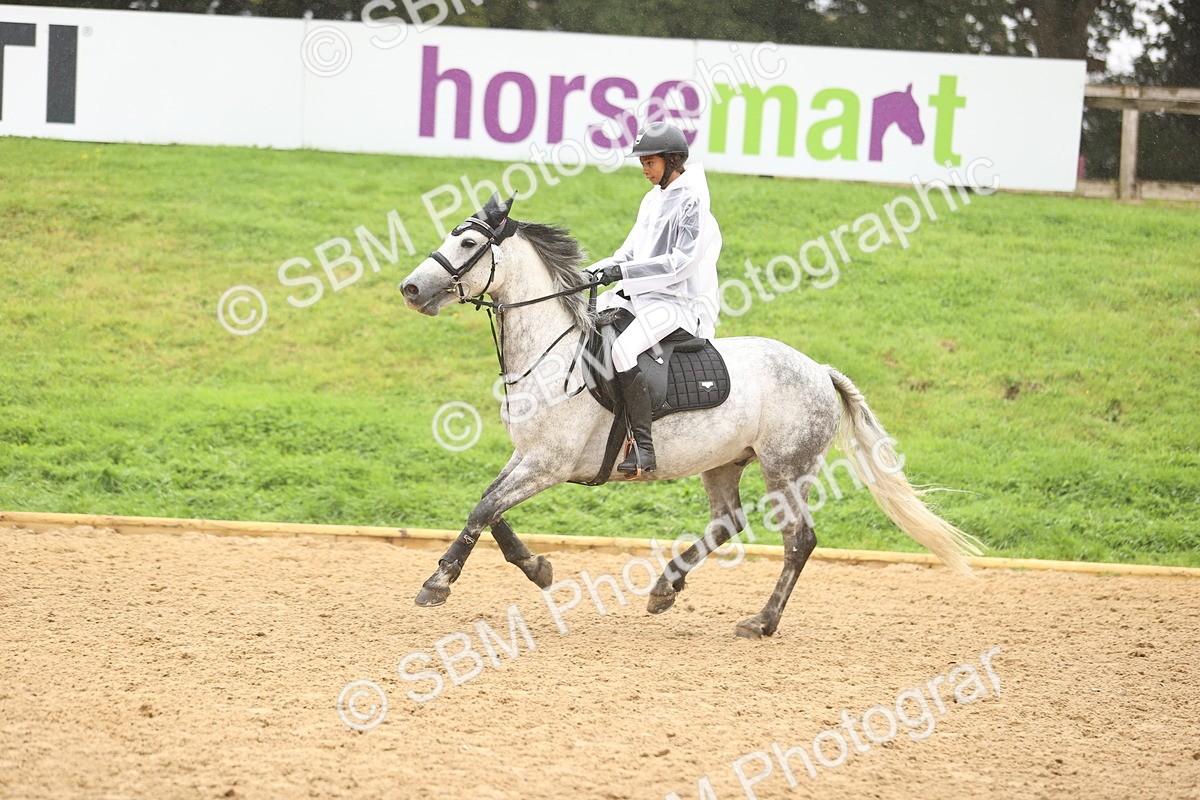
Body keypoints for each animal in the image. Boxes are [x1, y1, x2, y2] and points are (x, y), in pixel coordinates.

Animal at [398, 192, 982, 639]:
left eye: (468, 244)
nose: (411, 288)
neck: (553, 351)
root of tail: (817, 369)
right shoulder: (528, 456)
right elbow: (489, 507)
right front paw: (538, 568)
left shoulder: (549, 464)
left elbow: (483, 509)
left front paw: (438, 582)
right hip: (724, 462)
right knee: (729, 521)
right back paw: (665, 587)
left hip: (787, 468)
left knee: (799, 541)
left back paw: (761, 622)